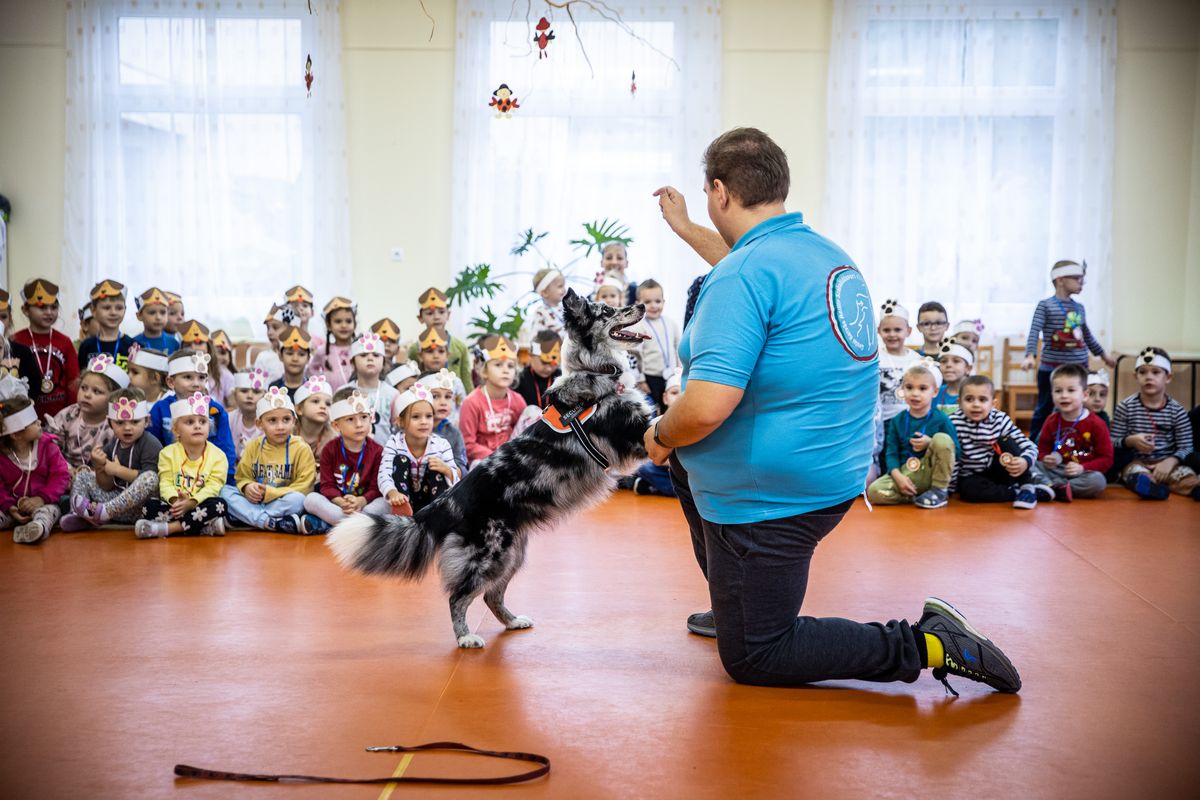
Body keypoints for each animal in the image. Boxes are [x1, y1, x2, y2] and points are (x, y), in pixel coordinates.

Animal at [324, 291, 652, 647]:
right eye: (608, 310)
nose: (642, 306)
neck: (595, 369)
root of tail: (444, 503)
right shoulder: (636, 434)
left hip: (511, 553)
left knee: (490, 596)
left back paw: (512, 621)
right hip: (489, 555)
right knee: (459, 596)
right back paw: (466, 638)